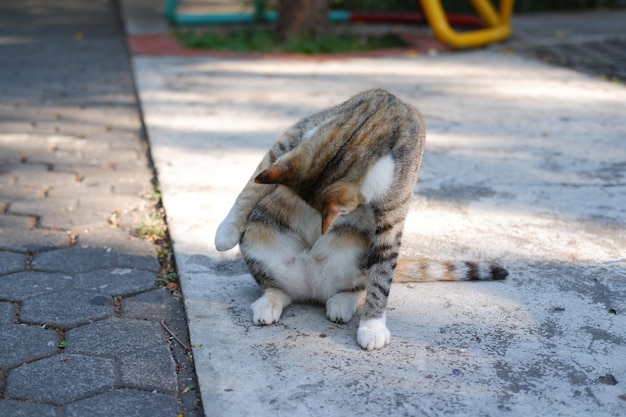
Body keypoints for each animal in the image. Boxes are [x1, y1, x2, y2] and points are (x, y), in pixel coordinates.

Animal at [214, 88, 508, 352]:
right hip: (259, 233)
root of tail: (313, 289)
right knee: (278, 288)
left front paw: (373, 326)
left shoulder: (393, 214)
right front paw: (226, 232)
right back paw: (270, 300)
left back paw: (343, 301)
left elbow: (382, 276)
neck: (361, 135)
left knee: (361, 285)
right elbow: (255, 180)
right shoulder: (292, 140)